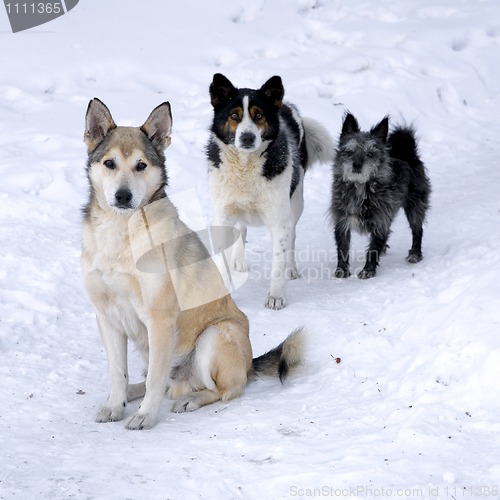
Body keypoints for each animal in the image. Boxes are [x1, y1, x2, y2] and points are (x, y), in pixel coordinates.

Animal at [81, 98, 304, 430]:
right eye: (109, 163)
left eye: (141, 165)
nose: (123, 196)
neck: (121, 236)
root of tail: (248, 366)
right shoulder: (107, 317)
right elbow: (118, 373)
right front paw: (115, 405)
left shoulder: (160, 319)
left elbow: (155, 381)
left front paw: (145, 416)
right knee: (161, 381)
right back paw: (134, 392)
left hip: (215, 335)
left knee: (223, 390)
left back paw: (189, 400)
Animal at [205, 73, 334, 308]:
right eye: (234, 115)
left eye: (259, 116)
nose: (247, 137)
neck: (245, 167)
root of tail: (286, 105)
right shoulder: (223, 215)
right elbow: (222, 261)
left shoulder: (278, 219)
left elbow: (278, 262)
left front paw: (276, 296)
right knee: (242, 228)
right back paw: (239, 259)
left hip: (296, 201)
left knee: (292, 235)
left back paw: (291, 268)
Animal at [330, 111, 432, 280]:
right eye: (350, 151)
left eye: (370, 154)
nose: (357, 165)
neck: (360, 187)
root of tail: (408, 154)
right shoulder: (342, 221)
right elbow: (342, 248)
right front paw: (342, 270)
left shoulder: (380, 220)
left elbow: (372, 249)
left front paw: (368, 271)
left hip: (415, 207)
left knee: (418, 230)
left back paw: (415, 254)